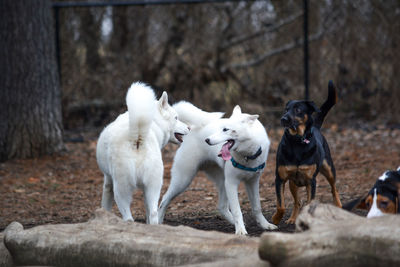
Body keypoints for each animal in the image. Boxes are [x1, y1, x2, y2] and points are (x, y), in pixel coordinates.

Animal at [158, 102, 276, 234]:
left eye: (225, 129)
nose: (207, 140)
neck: (247, 155)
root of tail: (192, 129)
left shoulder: (253, 182)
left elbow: (257, 207)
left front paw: (265, 225)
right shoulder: (232, 183)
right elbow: (237, 210)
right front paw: (240, 231)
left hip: (222, 182)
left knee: (222, 207)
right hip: (183, 180)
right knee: (164, 200)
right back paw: (158, 222)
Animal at [274, 80, 342, 225]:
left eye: (298, 110)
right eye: (286, 109)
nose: (283, 119)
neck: (297, 141)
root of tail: (316, 126)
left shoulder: (311, 181)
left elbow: (310, 202)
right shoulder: (280, 178)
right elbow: (281, 205)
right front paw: (275, 218)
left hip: (329, 169)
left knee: (334, 188)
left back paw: (339, 206)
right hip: (293, 183)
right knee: (297, 202)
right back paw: (293, 218)